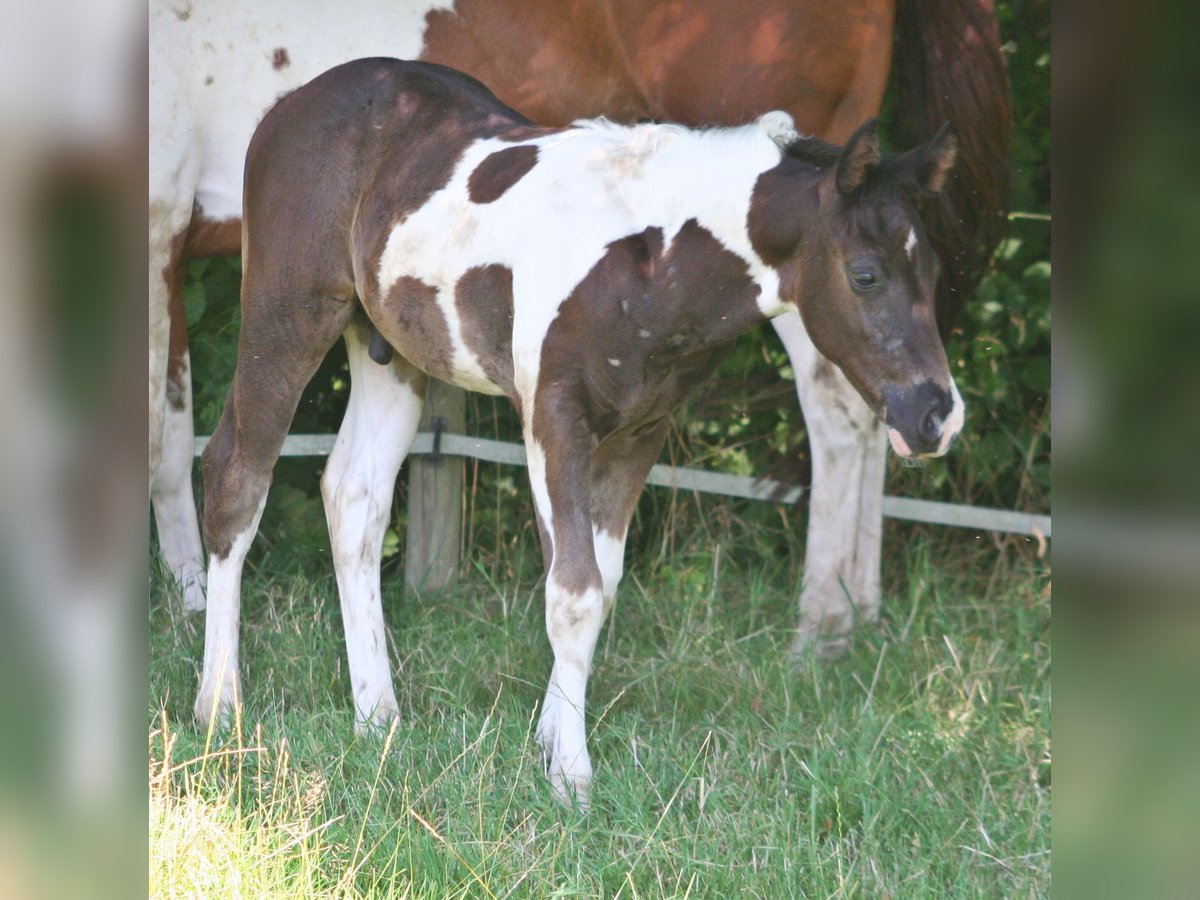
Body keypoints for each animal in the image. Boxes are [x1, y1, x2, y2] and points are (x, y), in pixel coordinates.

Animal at [199, 61, 964, 811]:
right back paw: (219, 705)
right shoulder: (553, 415)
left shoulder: (640, 430)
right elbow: (574, 591)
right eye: (864, 275)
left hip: (392, 352)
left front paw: (547, 739)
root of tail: (290, 104)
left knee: (353, 497)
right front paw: (571, 778)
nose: (937, 416)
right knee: (234, 476)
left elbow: (602, 579)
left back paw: (376, 716)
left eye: (932, 272)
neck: (651, 262)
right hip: (287, 312)